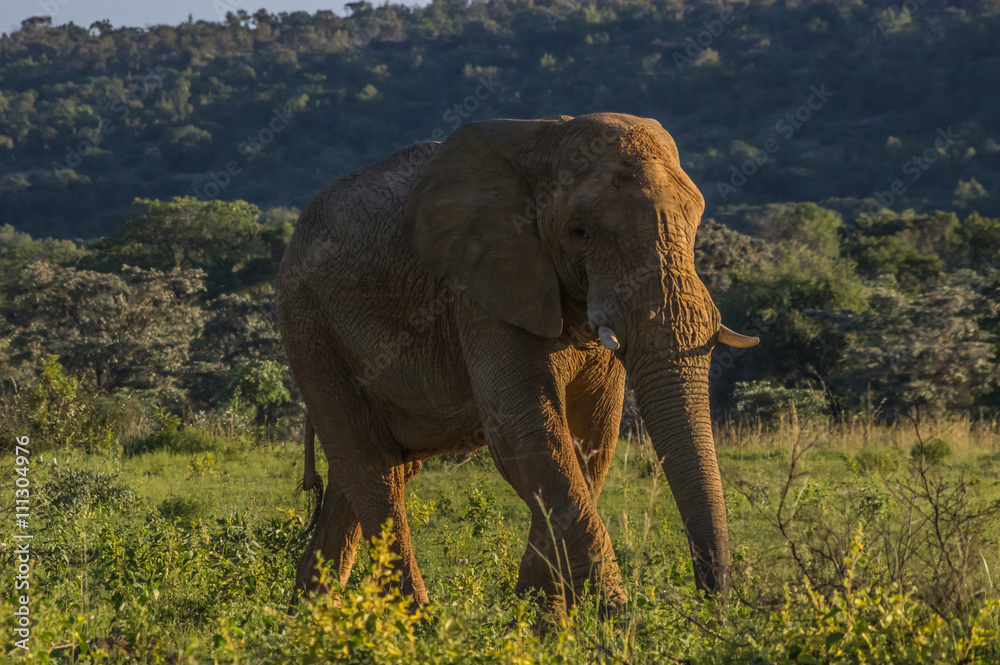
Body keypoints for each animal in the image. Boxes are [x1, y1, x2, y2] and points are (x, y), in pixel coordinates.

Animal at [275, 112, 759, 611]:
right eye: (579, 232)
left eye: (695, 222)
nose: (713, 600)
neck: (546, 140)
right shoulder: (482, 288)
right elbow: (526, 433)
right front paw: (613, 617)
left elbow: (591, 440)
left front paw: (535, 613)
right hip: (308, 325)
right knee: (370, 465)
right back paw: (416, 622)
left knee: (367, 472)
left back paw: (310, 617)